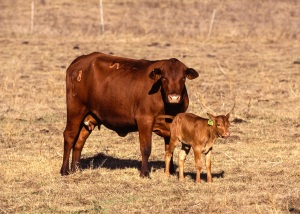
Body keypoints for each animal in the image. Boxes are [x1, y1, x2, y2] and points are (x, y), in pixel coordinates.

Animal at [59, 51, 198, 177]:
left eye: (183, 78)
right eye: (164, 78)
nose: (174, 97)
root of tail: (80, 60)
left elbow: (170, 149)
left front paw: (171, 172)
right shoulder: (144, 120)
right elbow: (146, 148)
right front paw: (144, 173)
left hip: (90, 115)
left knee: (80, 140)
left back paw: (76, 169)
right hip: (76, 110)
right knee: (70, 136)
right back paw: (64, 170)